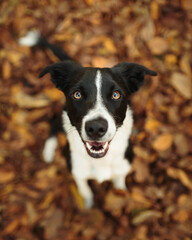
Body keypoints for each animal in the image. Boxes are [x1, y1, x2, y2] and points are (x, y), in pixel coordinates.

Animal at [19, 31, 158, 208]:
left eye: (116, 95)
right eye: (77, 94)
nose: (96, 128)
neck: (100, 161)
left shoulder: (122, 167)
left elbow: (119, 184)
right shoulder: (77, 171)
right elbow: (85, 190)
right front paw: (89, 205)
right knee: (54, 121)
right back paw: (49, 151)